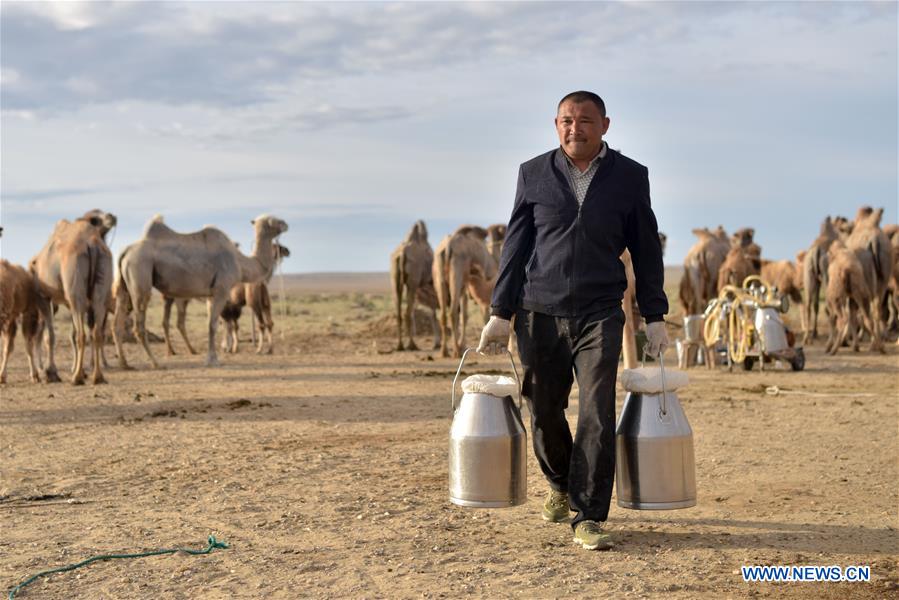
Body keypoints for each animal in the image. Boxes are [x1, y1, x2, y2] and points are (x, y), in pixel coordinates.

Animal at [30, 214, 115, 384]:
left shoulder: (44, 296)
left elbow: (50, 336)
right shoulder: (69, 303)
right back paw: (97, 376)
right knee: (96, 332)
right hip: (100, 285)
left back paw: (76, 378)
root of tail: (92, 245)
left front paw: (51, 373)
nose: (111, 217)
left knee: (82, 335)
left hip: (75, 285)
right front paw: (78, 371)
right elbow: (72, 333)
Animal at [113, 213, 288, 368]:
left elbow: (211, 323)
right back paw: (156, 363)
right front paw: (213, 360)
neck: (240, 263)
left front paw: (212, 357)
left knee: (118, 321)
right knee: (139, 324)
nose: (286, 224)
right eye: (275, 221)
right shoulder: (222, 290)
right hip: (140, 273)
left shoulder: (211, 295)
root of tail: (125, 252)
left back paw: (124, 363)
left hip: (124, 286)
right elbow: (213, 325)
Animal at [388, 220, 442, 352]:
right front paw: (437, 343)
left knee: (399, 311)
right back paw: (412, 345)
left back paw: (400, 345)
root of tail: (402, 254)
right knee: (408, 313)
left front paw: (437, 343)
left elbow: (432, 313)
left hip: (394, 278)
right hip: (413, 279)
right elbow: (433, 313)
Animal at [434, 225, 500, 356]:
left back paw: (444, 351)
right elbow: (465, 316)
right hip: (457, 274)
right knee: (453, 312)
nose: (488, 276)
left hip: (440, 279)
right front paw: (462, 345)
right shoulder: (465, 286)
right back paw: (456, 350)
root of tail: (448, 246)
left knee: (443, 314)